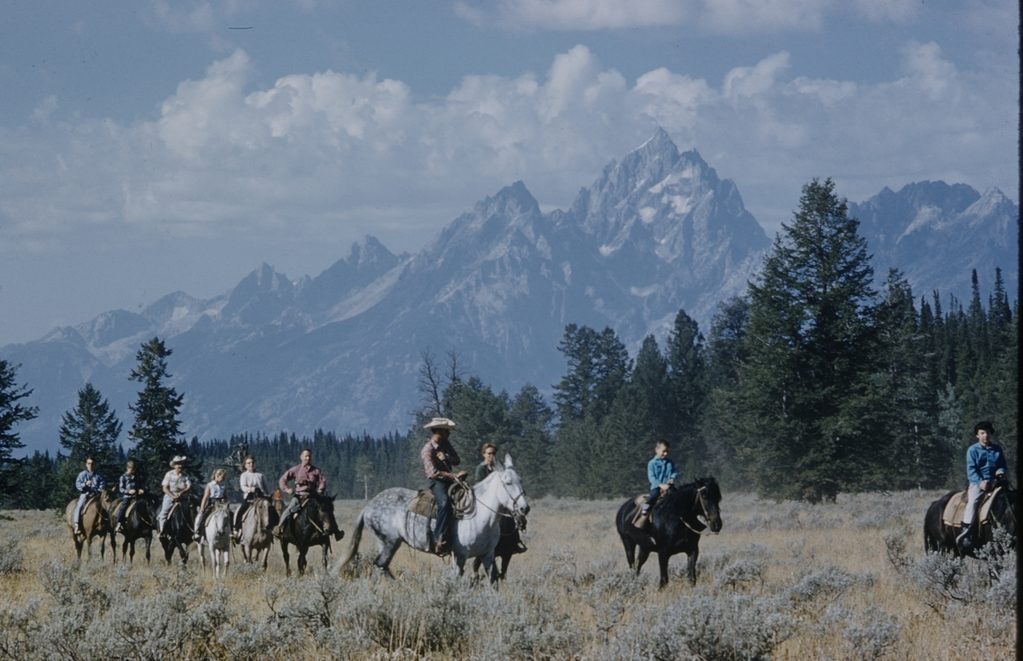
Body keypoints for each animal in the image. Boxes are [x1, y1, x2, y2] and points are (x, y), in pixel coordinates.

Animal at [339, 456, 531, 585]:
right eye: (507, 482)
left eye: (521, 480)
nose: (524, 508)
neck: (480, 516)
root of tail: (369, 506)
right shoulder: (460, 556)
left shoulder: (488, 555)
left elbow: (493, 580)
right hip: (390, 542)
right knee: (380, 564)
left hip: (385, 543)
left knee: (381, 566)